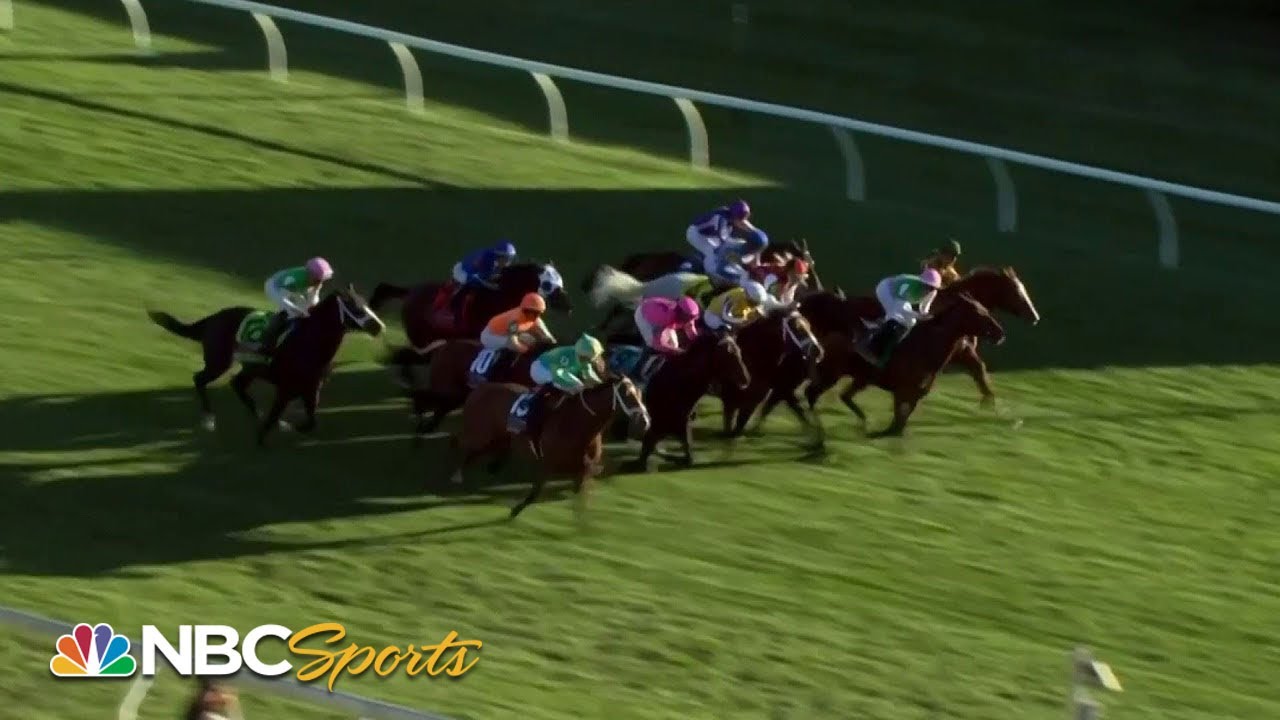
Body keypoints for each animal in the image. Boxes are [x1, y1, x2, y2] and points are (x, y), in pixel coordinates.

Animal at [146, 284, 386, 445]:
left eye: (366, 303)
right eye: (354, 306)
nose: (378, 326)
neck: (310, 343)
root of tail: (214, 318)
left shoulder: (311, 388)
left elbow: (311, 421)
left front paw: (291, 426)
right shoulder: (286, 388)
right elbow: (275, 414)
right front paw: (266, 435)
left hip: (249, 369)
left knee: (237, 384)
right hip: (219, 361)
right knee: (200, 379)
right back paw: (208, 419)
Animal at [449, 374, 650, 519]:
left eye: (640, 394)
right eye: (628, 395)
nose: (645, 423)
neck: (579, 424)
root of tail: (481, 388)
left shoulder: (582, 471)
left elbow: (580, 498)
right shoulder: (547, 464)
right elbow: (536, 493)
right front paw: (515, 510)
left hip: (497, 438)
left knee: (478, 452)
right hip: (481, 434)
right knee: (464, 445)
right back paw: (458, 473)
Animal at [622, 330, 752, 472]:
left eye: (739, 350)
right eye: (728, 354)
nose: (746, 379)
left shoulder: (681, 424)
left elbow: (687, 455)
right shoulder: (657, 424)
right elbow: (645, 453)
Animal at [757, 266, 1040, 426]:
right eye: (1018, 291)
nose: (1034, 316)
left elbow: (980, 373)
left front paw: (995, 408)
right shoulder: (961, 351)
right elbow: (979, 371)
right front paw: (993, 407)